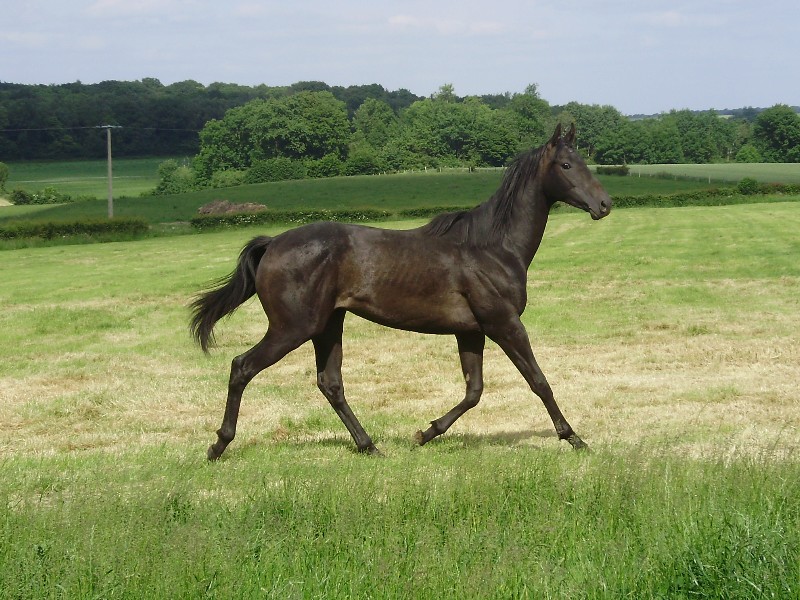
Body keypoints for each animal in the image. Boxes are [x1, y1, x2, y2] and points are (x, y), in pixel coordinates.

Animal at [191, 124, 608, 458]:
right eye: (566, 165)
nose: (604, 204)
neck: (491, 246)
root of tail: (273, 244)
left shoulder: (471, 331)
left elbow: (473, 391)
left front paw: (426, 433)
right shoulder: (504, 324)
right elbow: (539, 381)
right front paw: (574, 439)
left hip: (328, 325)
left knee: (330, 383)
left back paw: (369, 445)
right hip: (292, 328)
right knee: (242, 367)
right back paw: (218, 445)